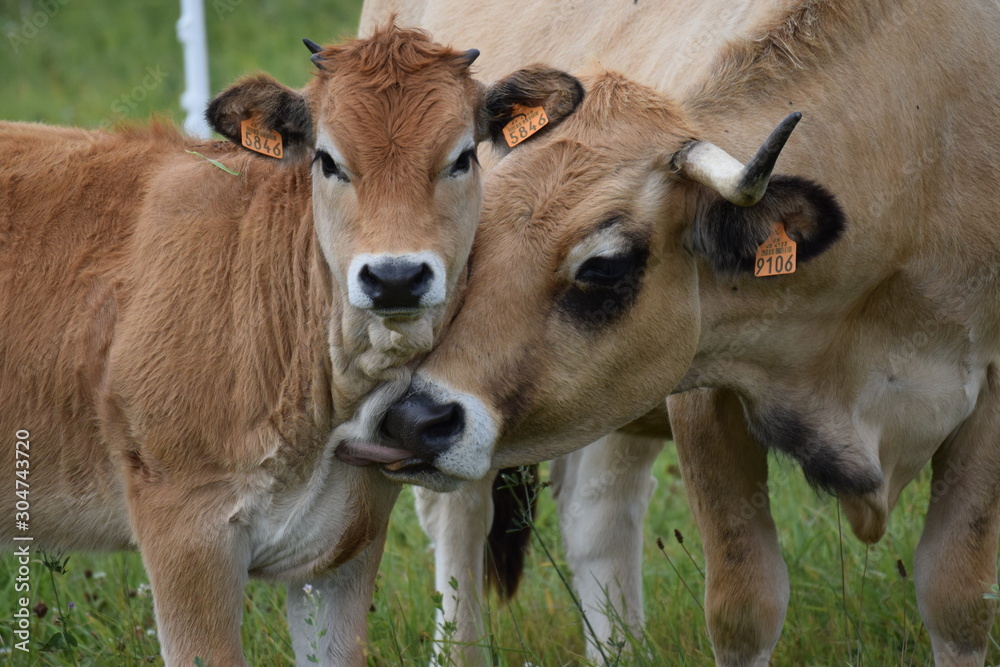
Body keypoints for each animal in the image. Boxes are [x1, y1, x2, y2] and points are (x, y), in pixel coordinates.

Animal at [364, 2, 1000, 664]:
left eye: (604, 266)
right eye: (478, 229)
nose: (414, 419)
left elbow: (957, 598)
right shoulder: (702, 396)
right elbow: (745, 606)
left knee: (598, 521)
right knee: (460, 526)